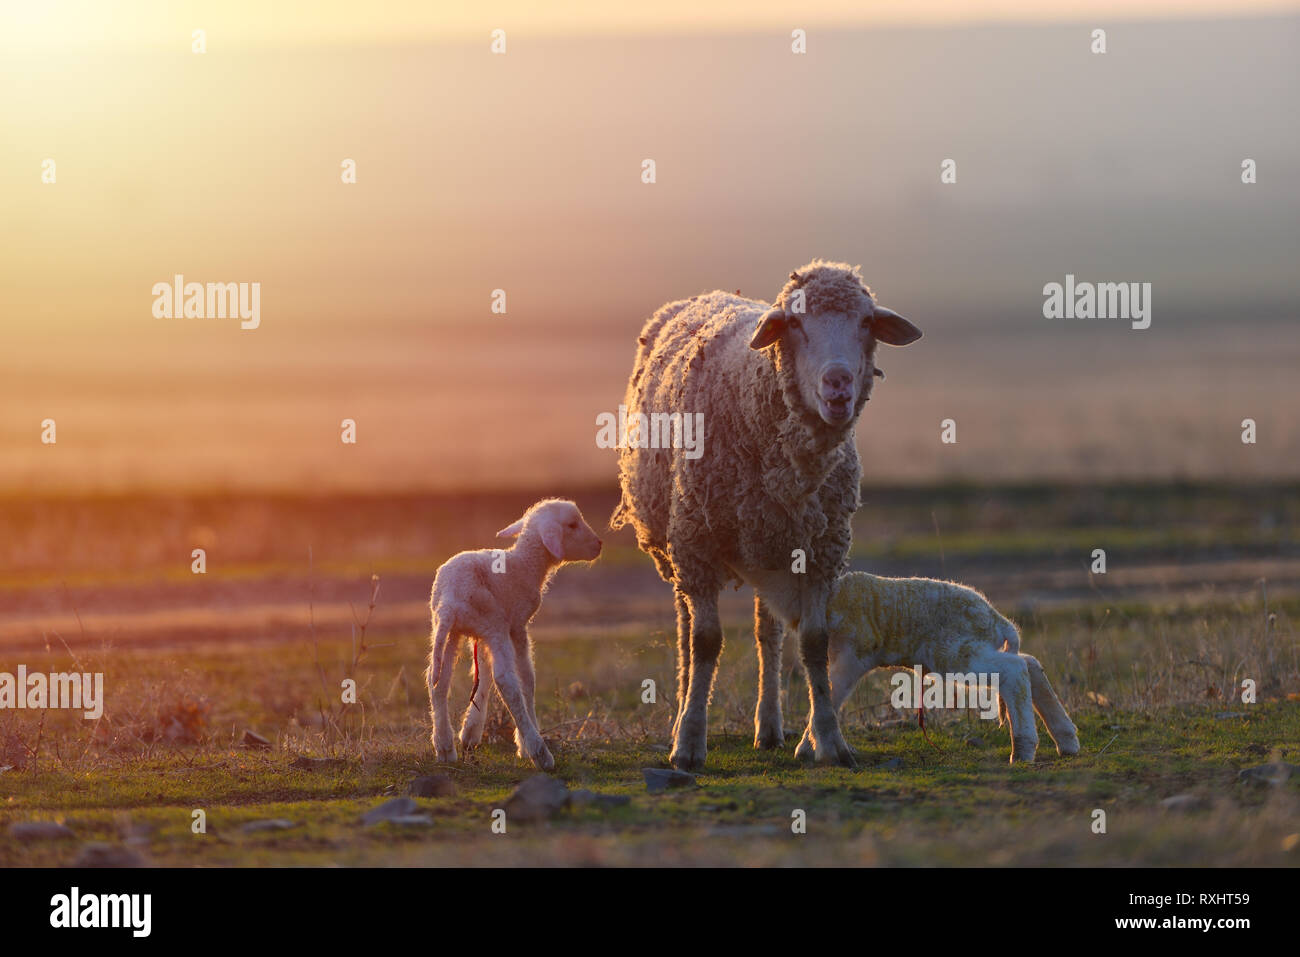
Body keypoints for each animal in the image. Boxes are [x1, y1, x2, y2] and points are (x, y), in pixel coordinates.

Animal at [425, 499, 602, 771]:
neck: (526, 564)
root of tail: (449, 599)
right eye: (572, 524)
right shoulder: (517, 625)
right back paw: (539, 751)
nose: (599, 544)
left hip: (450, 630)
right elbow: (526, 678)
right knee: (506, 680)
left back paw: (444, 746)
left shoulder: (481, 635)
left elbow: (483, 674)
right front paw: (525, 740)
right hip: (493, 623)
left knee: (438, 681)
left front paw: (471, 730)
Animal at [610, 261, 922, 769]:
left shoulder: (820, 551)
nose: (838, 385)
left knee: (767, 633)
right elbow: (706, 641)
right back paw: (682, 712)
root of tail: (709, 293)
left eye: (865, 322)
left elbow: (814, 641)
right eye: (794, 323)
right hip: (677, 544)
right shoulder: (695, 542)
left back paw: (769, 726)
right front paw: (689, 743)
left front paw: (830, 742)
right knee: (685, 629)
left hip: (767, 547)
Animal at [798, 571, 1081, 763]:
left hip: (957, 653)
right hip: (973, 648)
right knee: (1029, 662)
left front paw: (809, 749)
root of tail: (999, 621)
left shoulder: (852, 653)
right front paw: (812, 748)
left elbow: (830, 692)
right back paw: (1066, 740)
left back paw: (1023, 750)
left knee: (1015, 669)